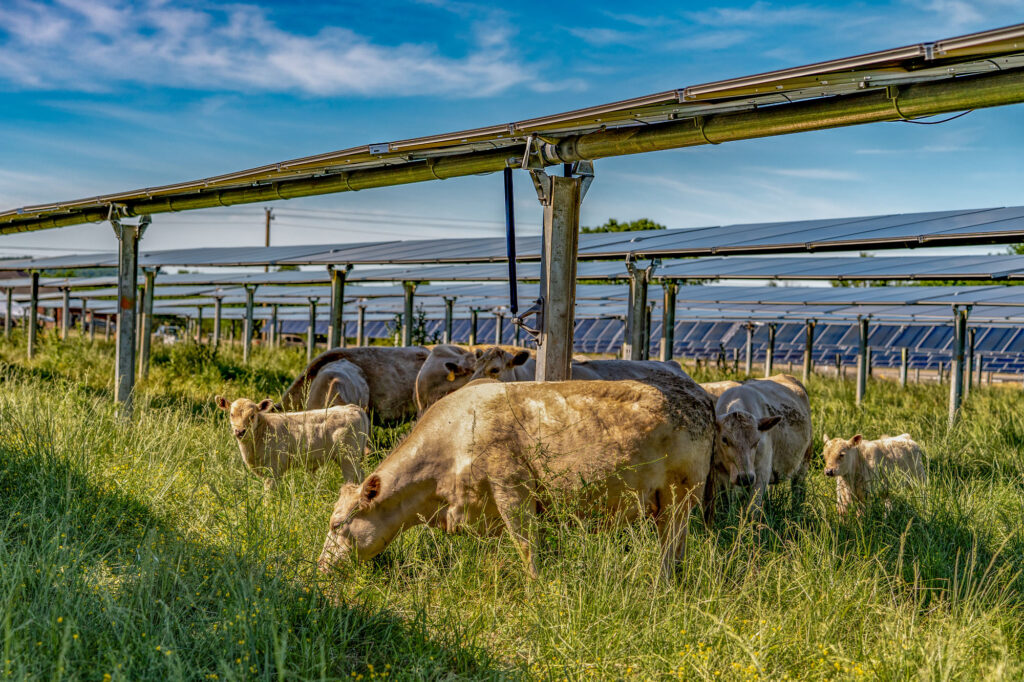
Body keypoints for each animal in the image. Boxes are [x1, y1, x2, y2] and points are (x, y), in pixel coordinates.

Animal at [215, 396, 368, 490]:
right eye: (231, 414)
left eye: (252, 416)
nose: (240, 431)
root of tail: (352, 408)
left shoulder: (273, 468)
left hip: (348, 457)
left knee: (352, 478)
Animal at [318, 375, 715, 581]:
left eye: (337, 525)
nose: (319, 568)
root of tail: (697, 394)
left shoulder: (513, 492)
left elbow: (526, 548)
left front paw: (535, 589)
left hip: (679, 496)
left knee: (671, 548)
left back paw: (661, 585)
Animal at [709, 374, 813, 510]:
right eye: (724, 439)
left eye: (757, 441)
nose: (745, 478)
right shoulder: (718, 476)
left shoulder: (761, 474)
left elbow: (752, 509)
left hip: (804, 463)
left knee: (798, 490)